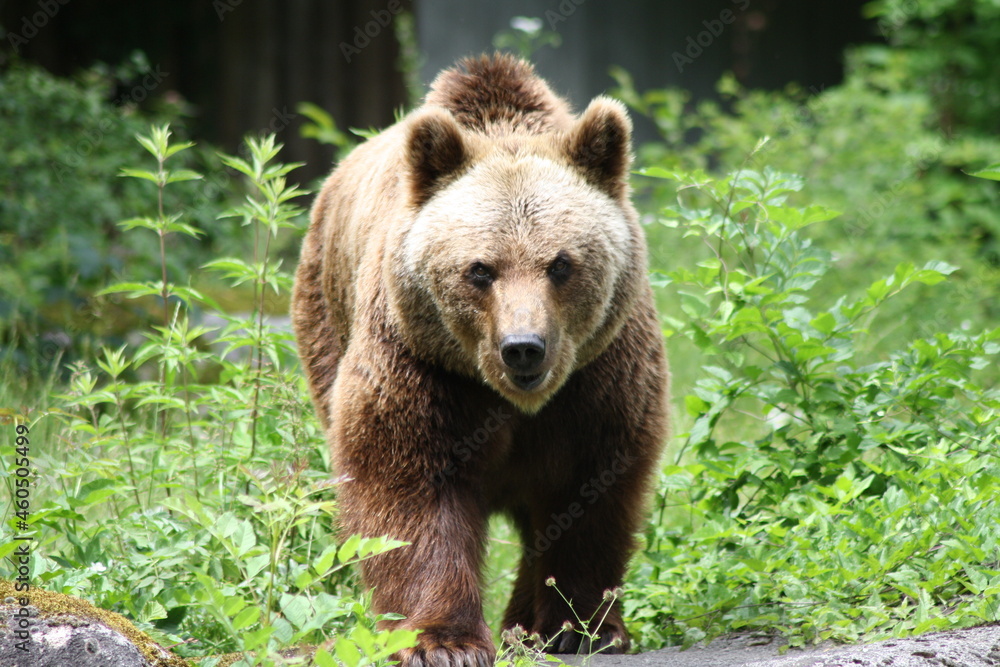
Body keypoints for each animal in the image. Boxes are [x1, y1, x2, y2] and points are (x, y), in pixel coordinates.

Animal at [291, 53, 668, 667]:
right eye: (480, 269)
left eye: (560, 264)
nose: (523, 346)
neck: (515, 399)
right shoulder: (423, 365)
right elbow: (409, 490)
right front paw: (443, 641)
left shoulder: (600, 373)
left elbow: (591, 487)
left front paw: (579, 627)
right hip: (325, 317)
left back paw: (524, 625)